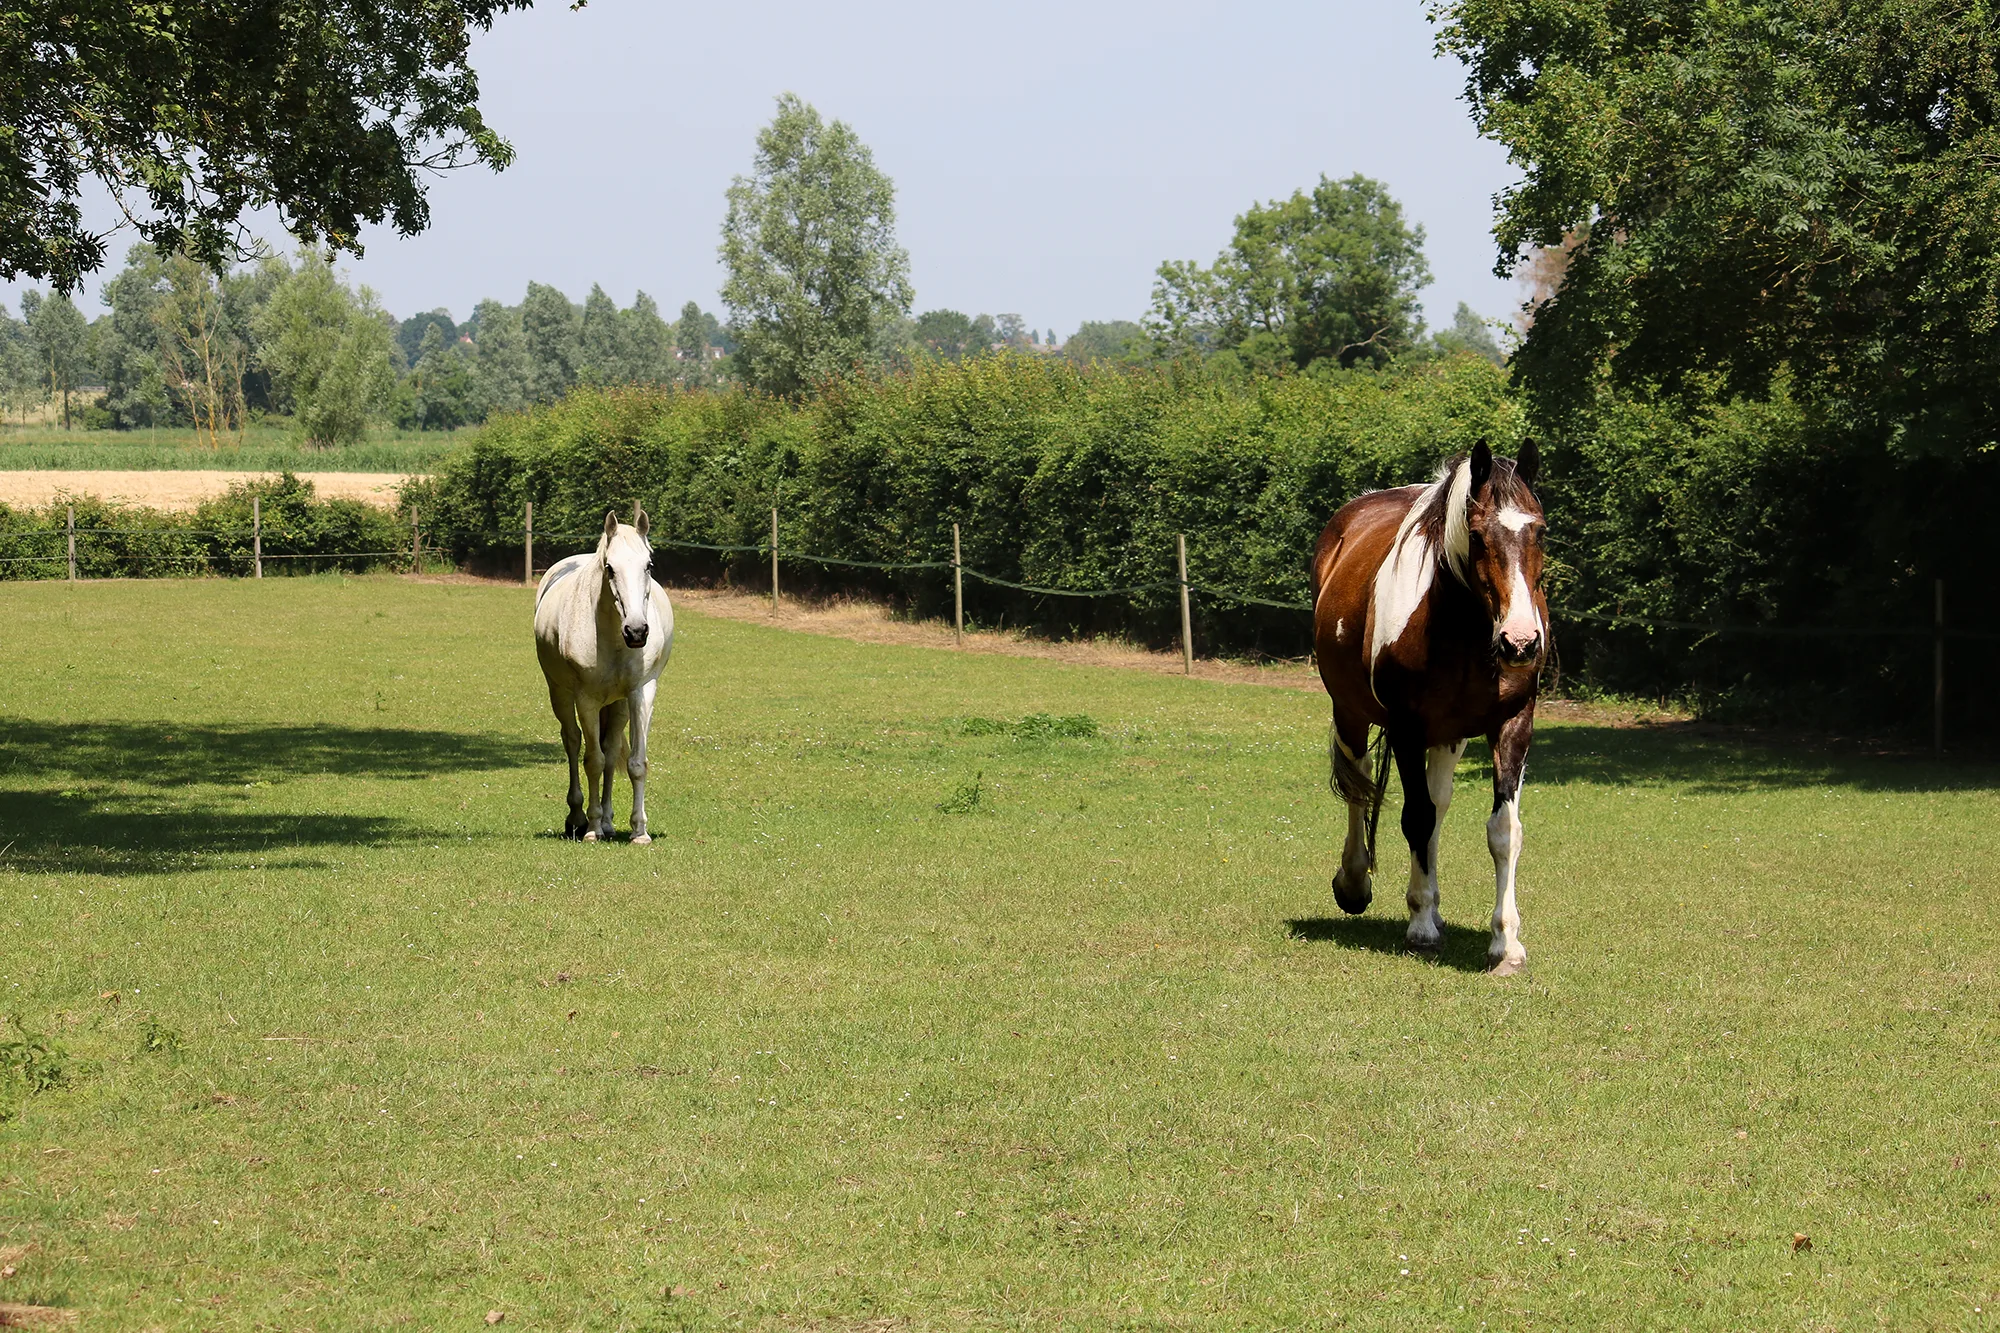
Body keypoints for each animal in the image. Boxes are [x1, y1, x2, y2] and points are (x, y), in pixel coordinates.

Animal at [534, 504, 676, 843]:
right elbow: (592, 761)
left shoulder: (641, 692)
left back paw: (609, 821)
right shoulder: (586, 698)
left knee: (611, 751)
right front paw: (592, 828)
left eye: (649, 565)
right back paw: (578, 818)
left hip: (618, 704)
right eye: (610, 568)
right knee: (572, 742)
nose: (636, 631)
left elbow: (635, 763)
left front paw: (639, 831)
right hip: (560, 693)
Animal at [1310, 440, 1547, 975]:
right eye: (1477, 535)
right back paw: (1355, 883)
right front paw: (1419, 927)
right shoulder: (1407, 728)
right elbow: (1413, 817)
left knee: (1436, 805)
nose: (1520, 642)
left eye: (1540, 530)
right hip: (1352, 714)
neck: (1462, 630)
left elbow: (1503, 831)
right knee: (1359, 787)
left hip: (1448, 735)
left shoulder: (1512, 725)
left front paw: (1506, 943)